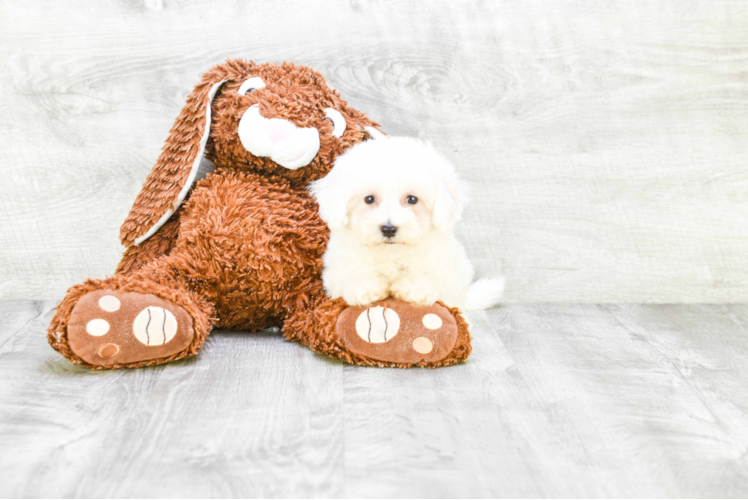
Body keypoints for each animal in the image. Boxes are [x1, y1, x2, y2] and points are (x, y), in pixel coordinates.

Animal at [306, 136, 506, 308]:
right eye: (369, 199)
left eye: (412, 199)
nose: (388, 229)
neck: (392, 253)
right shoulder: (336, 271)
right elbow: (350, 275)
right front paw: (363, 286)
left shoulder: (448, 272)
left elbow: (433, 280)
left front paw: (414, 287)